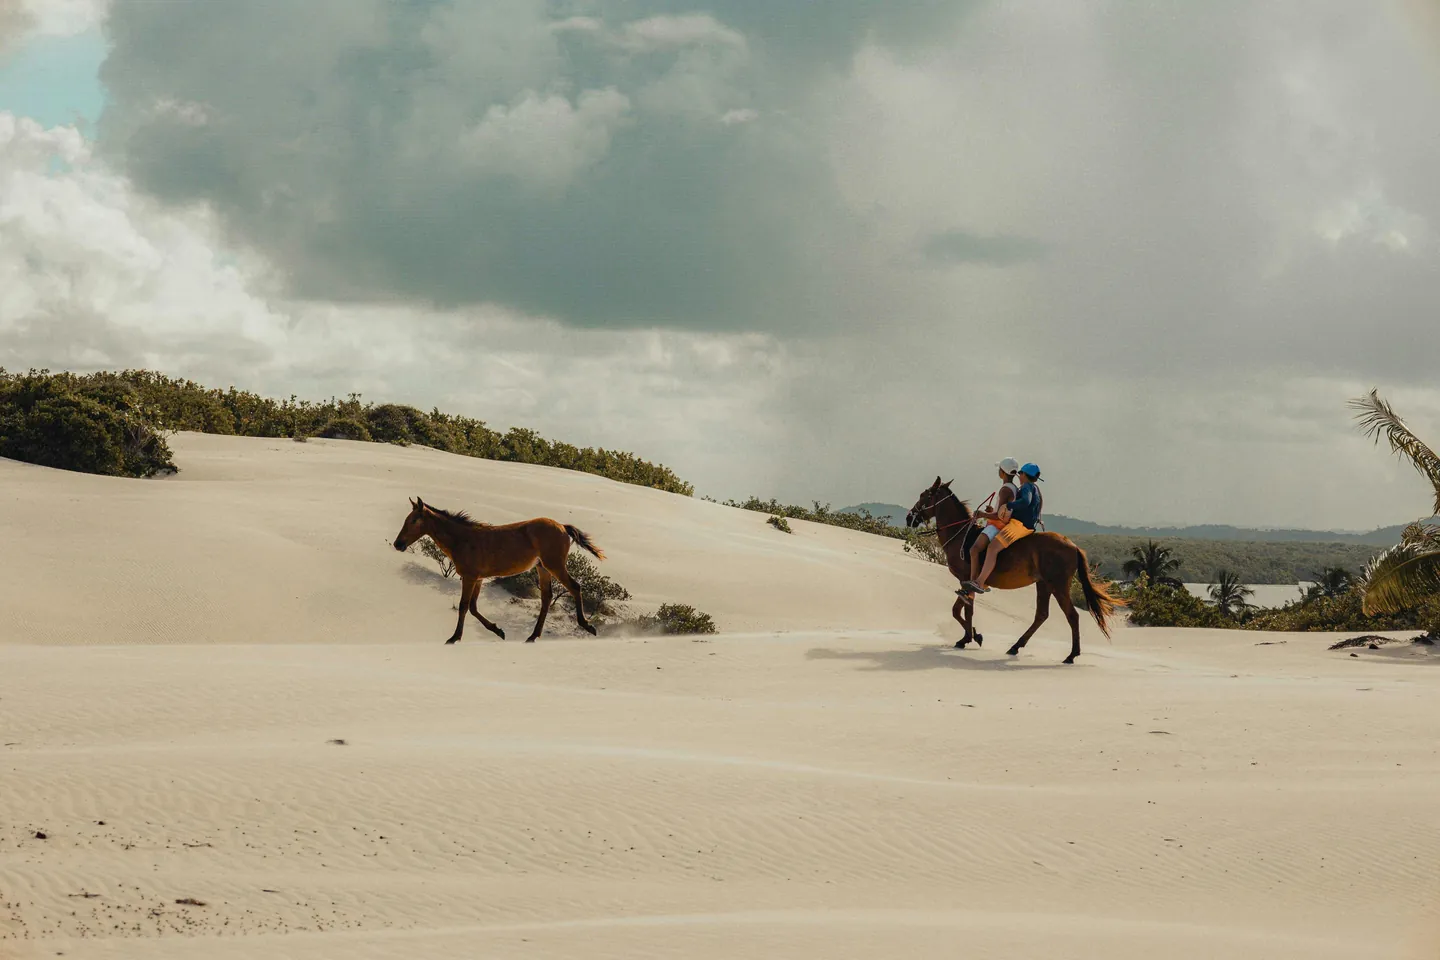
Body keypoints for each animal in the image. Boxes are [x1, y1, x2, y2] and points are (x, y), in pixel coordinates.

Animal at [392, 497, 604, 644]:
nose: (398, 544)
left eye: (414, 521)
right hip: (542, 568)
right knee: (546, 597)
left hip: (554, 565)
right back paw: (533, 636)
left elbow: (463, 606)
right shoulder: (477, 579)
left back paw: (587, 626)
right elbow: (473, 607)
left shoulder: (470, 577)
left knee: (574, 587)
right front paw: (498, 631)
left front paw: (454, 638)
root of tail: (562, 526)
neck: (462, 539)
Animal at [906, 476, 1123, 663]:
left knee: (1072, 615)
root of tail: (1073, 546)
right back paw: (1016, 646)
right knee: (1042, 615)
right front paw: (971, 636)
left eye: (924, 495)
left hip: (1058, 585)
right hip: (1044, 584)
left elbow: (963, 610)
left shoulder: (966, 579)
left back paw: (1071, 655)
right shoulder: (964, 583)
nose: (909, 518)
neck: (960, 536)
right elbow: (960, 610)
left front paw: (970, 637)